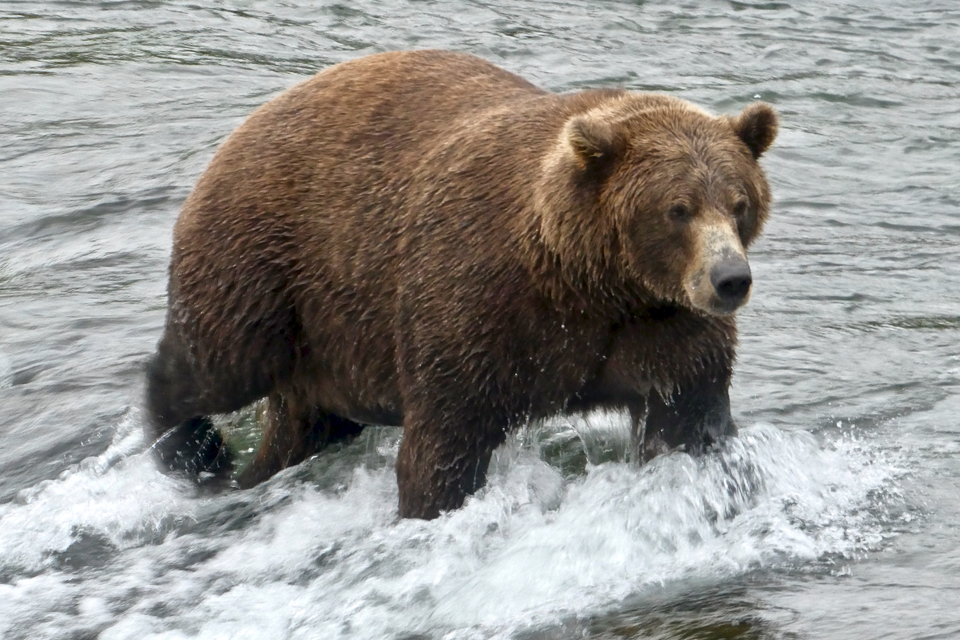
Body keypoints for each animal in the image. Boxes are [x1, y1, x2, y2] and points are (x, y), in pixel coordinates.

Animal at [146, 50, 778, 520]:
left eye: (739, 202)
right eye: (678, 208)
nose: (730, 279)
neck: (586, 281)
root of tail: (244, 127)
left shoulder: (660, 325)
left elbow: (687, 414)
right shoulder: (475, 301)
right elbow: (446, 436)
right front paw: (433, 504)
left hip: (330, 334)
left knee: (306, 421)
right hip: (266, 257)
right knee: (216, 362)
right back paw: (191, 451)